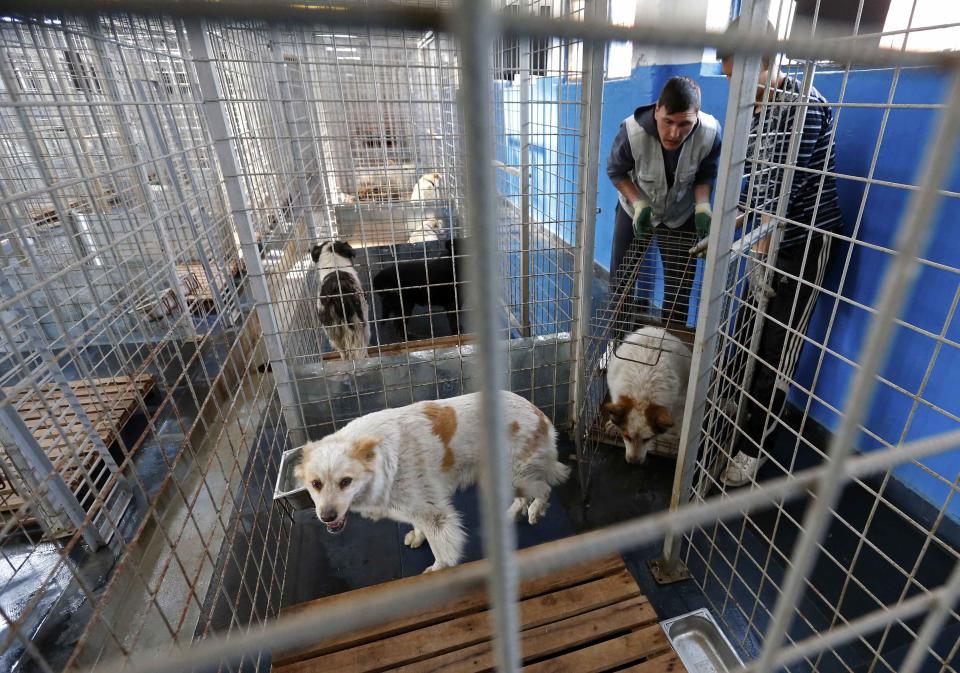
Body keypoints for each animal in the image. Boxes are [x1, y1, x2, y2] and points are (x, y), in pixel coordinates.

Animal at [294, 392, 568, 568]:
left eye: (345, 482)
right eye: (316, 484)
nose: (326, 517)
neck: (384, 457)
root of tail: (539, 413)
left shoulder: (436, 516)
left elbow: (442, 554)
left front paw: (436, 573)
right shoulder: (417, 506)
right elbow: (418, 527)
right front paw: (417, 537)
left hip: (514, 476)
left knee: (544, 489)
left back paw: (535, 511)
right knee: (524, 496)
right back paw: (511, 514)